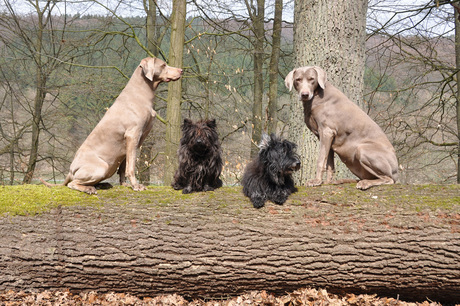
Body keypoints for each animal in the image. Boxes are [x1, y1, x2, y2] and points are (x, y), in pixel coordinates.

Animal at [41, 57, 181, 194]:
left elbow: (124, 167)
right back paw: (89, 189)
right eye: (163, 65)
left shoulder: (133, 142)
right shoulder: (132, 135)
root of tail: (70, 171)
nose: (181, 70)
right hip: (102, 167)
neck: (140, 93)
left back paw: (103, 185)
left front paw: (124, 184)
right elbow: (131, 166)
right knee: (72, 184)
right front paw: (136, 186)